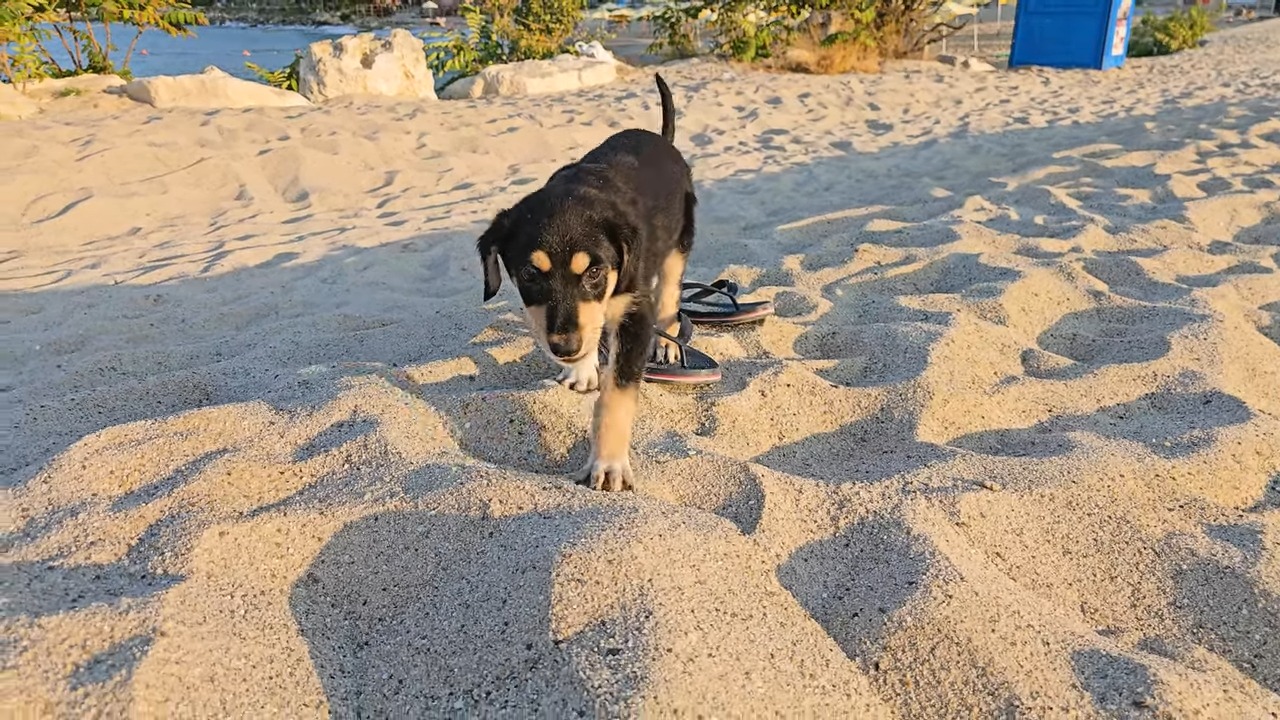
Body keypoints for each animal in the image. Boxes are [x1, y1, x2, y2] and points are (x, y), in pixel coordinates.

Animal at [476, 71, 696, 486]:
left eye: (595, 271)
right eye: (529, 273)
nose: (563, 348)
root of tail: (663, 139)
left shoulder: (634, 313)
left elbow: (615, 397)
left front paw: (608, 464)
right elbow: (590, 329)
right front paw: (581, 369)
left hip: (680, 243)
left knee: (671, 293)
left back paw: (667, 341)